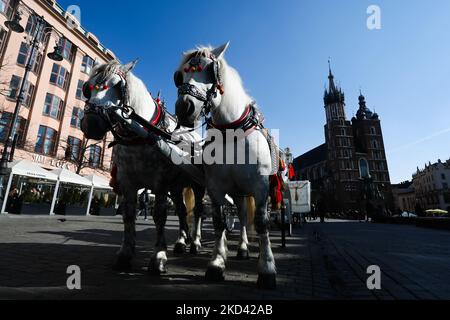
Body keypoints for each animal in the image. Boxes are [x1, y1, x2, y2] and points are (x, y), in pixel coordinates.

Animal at [80, 59, 207, 272]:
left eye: (118, 85)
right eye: (86, 89)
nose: (91, 124)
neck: (141, 135)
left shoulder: (160, 183)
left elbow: (160, 215)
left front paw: (158, 256)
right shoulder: (127, 182)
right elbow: (128, 214)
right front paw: (125, 253)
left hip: (197, 185)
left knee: (198, 211)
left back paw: (195, 242)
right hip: (176, 187)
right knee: (182, 210)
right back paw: (182, 241)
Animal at [175, 43, 278, 290]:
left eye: (210, 70)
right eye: (180, 75)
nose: (184, 108)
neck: (231, 135)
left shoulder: (261, 186)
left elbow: (262, 223)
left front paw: (267, 268)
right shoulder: (215, 188)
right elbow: (220, 222)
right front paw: (216, 263)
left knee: (250, 219)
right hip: (238, 193)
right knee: (241, 216)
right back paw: (241, 248)